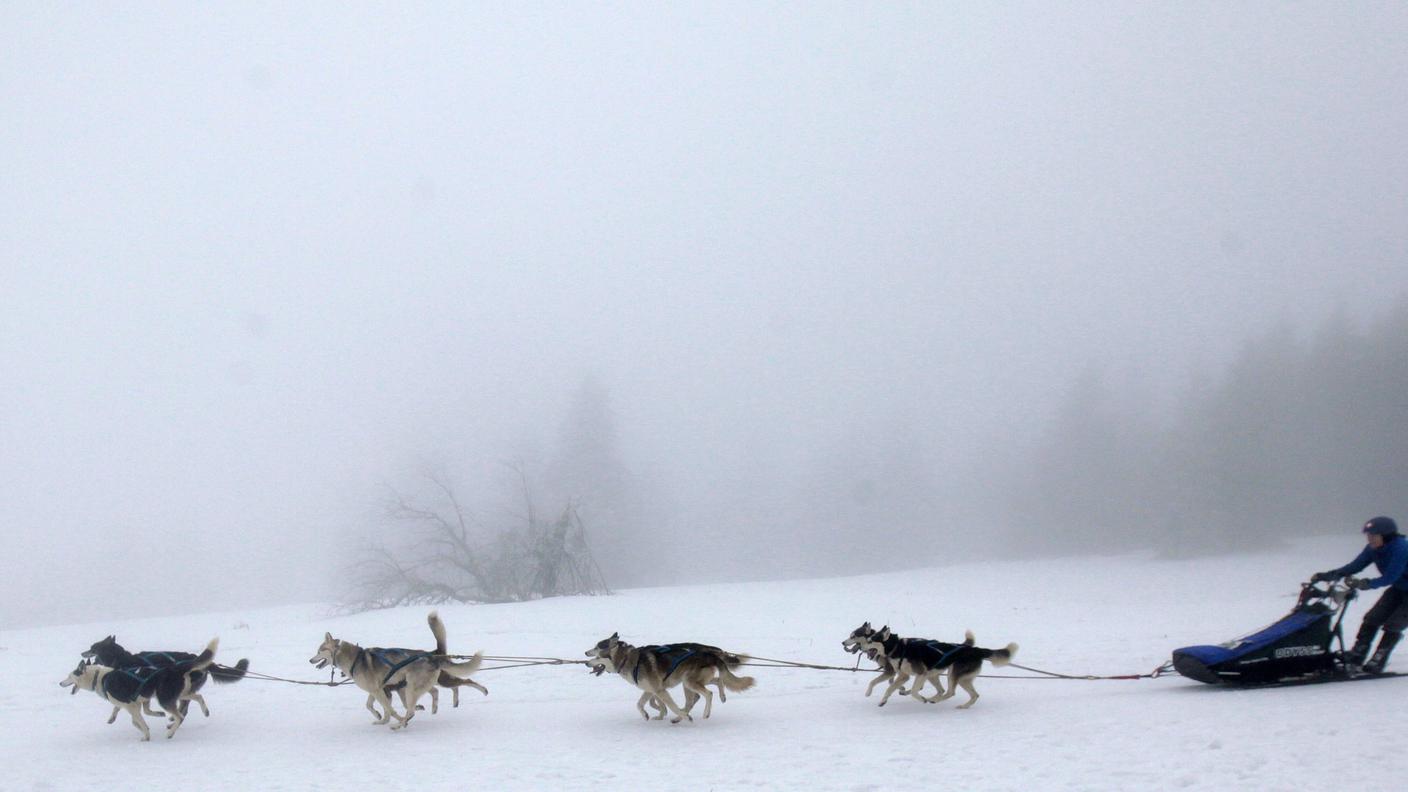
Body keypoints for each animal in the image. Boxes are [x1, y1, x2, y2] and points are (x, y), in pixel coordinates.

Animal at [61, 634, 218, 738]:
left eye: (93, 648)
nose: (60, 683)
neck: (101, 677)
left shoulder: (131, 704)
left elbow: (136, 719)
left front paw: (146, 735)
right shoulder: (141, 700)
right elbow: (139, 716)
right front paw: (155, 717)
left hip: (165, 698)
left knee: (181, 714)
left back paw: (170, 731)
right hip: (177, 693)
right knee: (197, 697)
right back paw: (203, 712)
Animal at [308, 611, 484, 727]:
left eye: (319, 650)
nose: (310, 660)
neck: (354, 659)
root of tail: (432, 655)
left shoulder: (379, 691)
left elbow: (390, 710)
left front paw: (396, 719)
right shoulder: (377, 690)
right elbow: (371, 706)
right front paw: (381, 719)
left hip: (413, 687)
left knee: (415, 707)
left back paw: (401, 724)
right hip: (417, 686)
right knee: (433, 694)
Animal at [585, 631, 754, 718]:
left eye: (597, 650)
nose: (586, 658)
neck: (627, 658)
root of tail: (711, 653)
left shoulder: (659, 690)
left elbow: (669, 705)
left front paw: (676, 714)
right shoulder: (650, 689)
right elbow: (641, 704)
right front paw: (650, 714)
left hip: (689, 681)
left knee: (707, 694)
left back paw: (702, 713)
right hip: (693, 681)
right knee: (718, 681)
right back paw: (721, 696)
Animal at [861, 625, 1019, 704]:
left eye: (870, 641)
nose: (861, 647)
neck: (899, 648)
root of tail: (975, 650)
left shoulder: (920, 674)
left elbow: (914, 691)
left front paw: (922, 699)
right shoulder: (904, 676)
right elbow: (890, 689)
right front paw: (883, 701)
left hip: (951, 673)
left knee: (950, 692)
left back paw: (933, 700)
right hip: (949, 677)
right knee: (971, 695)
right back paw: (960, 706)